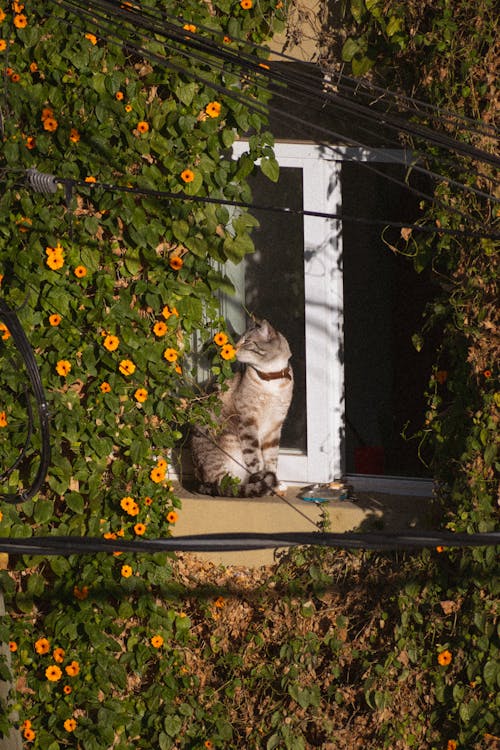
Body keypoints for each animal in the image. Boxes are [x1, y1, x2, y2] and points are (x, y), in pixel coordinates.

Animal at [190, 318, 292, 500]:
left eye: (247, 341)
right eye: (238, 340)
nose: (234, 348)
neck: (272, 381)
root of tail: (198, 481)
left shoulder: (275, 426)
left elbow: (272, 458)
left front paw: (274, 481)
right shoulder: (248, 422)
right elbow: (255, 458)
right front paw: (263, 480)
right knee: (225, 484)